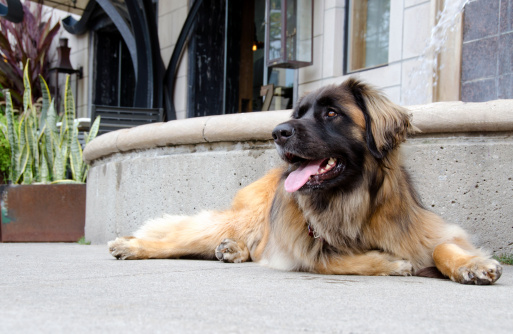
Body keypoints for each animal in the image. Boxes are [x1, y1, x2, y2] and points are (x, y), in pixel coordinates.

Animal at [109, 78, 500, 284]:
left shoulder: (427, 230)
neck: (351, 201)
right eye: (298, 113)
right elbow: (335, 260)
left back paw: (233, 250)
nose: (277, 133)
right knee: (179, 238)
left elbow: (442, 245)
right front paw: (391, 263)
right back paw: (133, 246)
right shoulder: (305, 246)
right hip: (245, 217)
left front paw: (471, 264)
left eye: (331, 113)